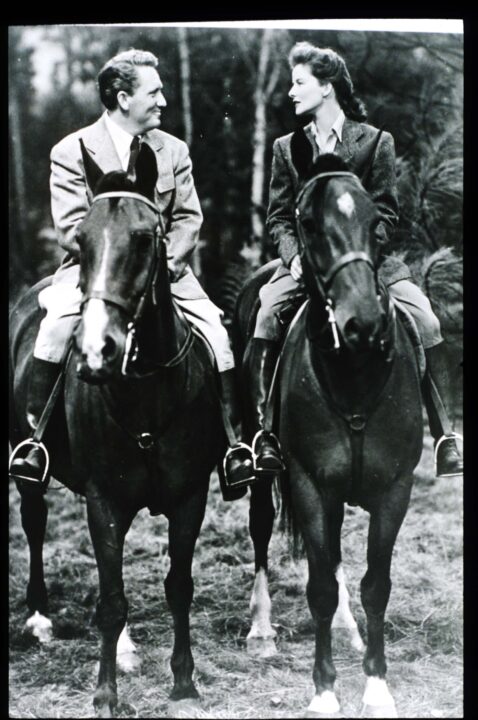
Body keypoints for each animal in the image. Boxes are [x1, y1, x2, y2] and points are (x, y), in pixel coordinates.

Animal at [8, 150, 223, 716]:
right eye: (80, 239)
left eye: (147, 238)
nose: (97, 351)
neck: (144, 390)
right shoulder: (104, 500)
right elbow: (110, 600)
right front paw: (105, 694)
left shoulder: (190, 498)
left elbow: (179, 586)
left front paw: (184, 682)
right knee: (34, 520)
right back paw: (39, 618)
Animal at [233, 155, 424, 716]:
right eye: (309, 223)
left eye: (376, 220)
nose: (363, 321)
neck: (354, 375)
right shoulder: (310, 484)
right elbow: (318, 585)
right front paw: (323, 692)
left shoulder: (395, 489)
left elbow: (375, 585)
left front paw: (377, 688)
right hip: (264, 474)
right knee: (261, 529)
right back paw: (261, 631)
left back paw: (347, 630)